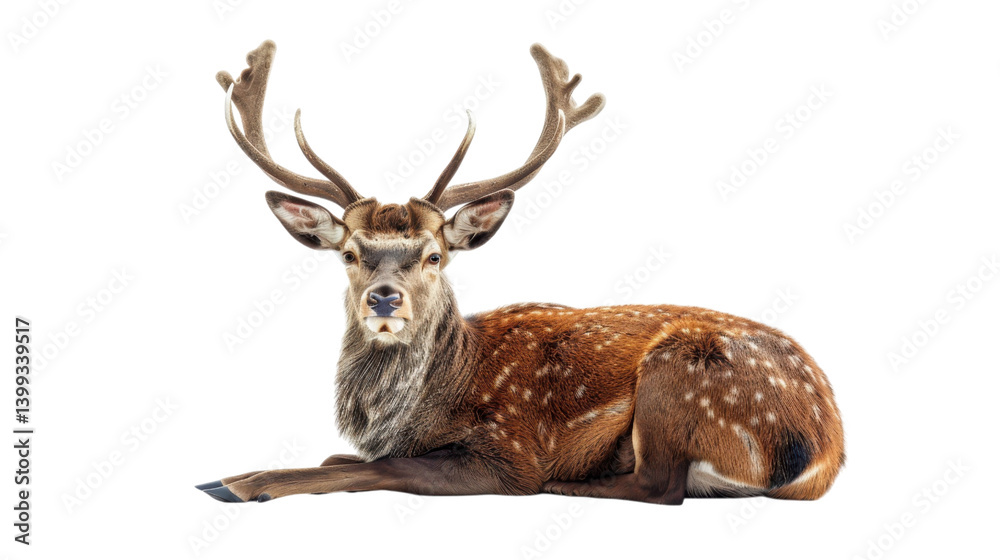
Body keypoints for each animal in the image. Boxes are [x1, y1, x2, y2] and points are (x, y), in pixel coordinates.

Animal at [197, 40, 845, 505]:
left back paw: (571, 485)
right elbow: (343, 459)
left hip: (679, 377)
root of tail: (825, 450)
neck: (418, 408)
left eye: (435, 256)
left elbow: (381, 469)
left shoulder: (508, 451)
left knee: (662, 487)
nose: (383, 300)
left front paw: (237, 482)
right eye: (350, 255)